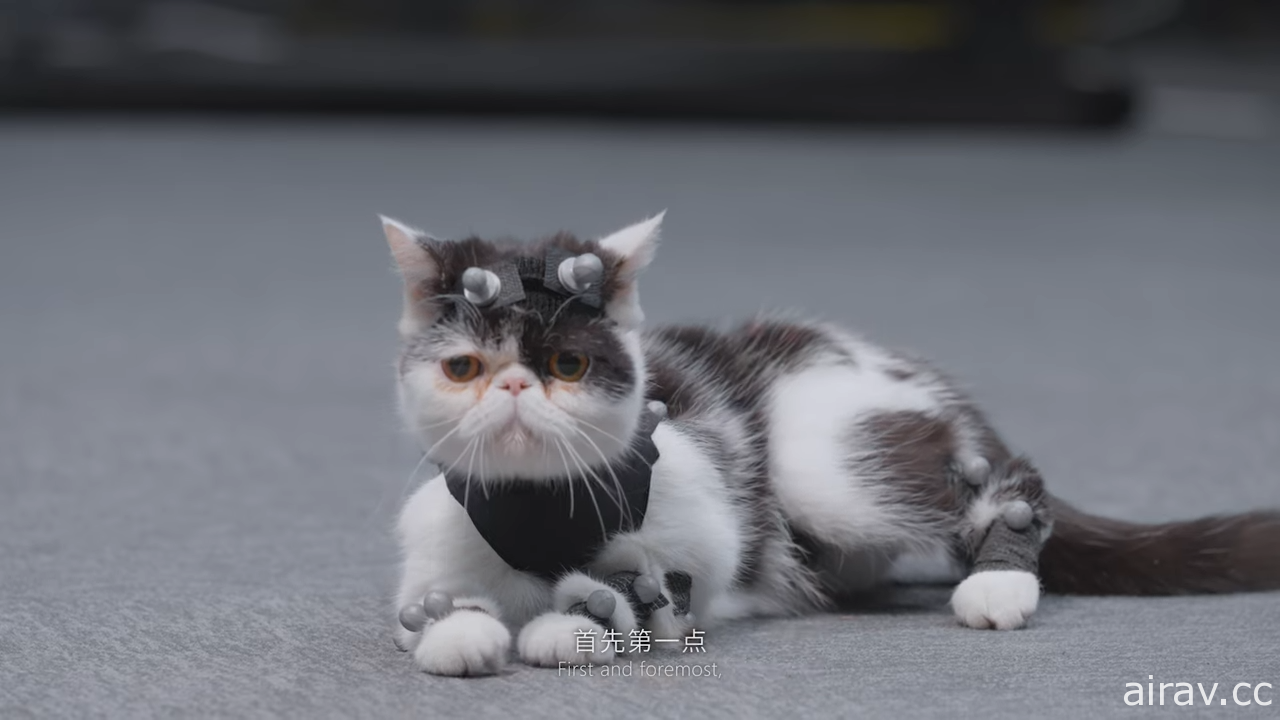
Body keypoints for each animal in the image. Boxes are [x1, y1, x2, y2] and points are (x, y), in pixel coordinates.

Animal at [378, 211, 1280, 671]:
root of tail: (914, 370)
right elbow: (426, 615)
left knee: (1006, 477)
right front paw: (456, 628)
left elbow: (676, 580)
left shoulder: (704, 511)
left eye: (567, 364)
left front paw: (591, 613)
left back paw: (999, 581)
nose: (514, 387)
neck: (541, 511)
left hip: (827, 464)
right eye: (463, 367)